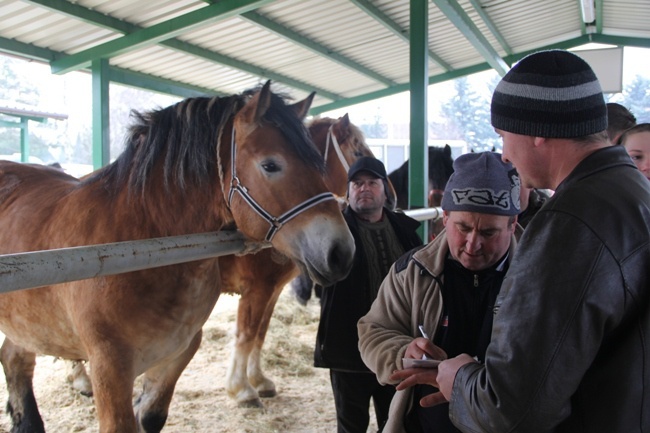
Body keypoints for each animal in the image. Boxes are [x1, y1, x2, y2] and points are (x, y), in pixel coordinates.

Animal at [0, 82, 352, 432]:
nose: (341, 252)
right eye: (270, 165)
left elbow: (153, 415)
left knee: (14, 359)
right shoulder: (110, 367)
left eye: (318, 165)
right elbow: (248, 334)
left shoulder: (180, 350)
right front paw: (244, 390)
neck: (141, 249)